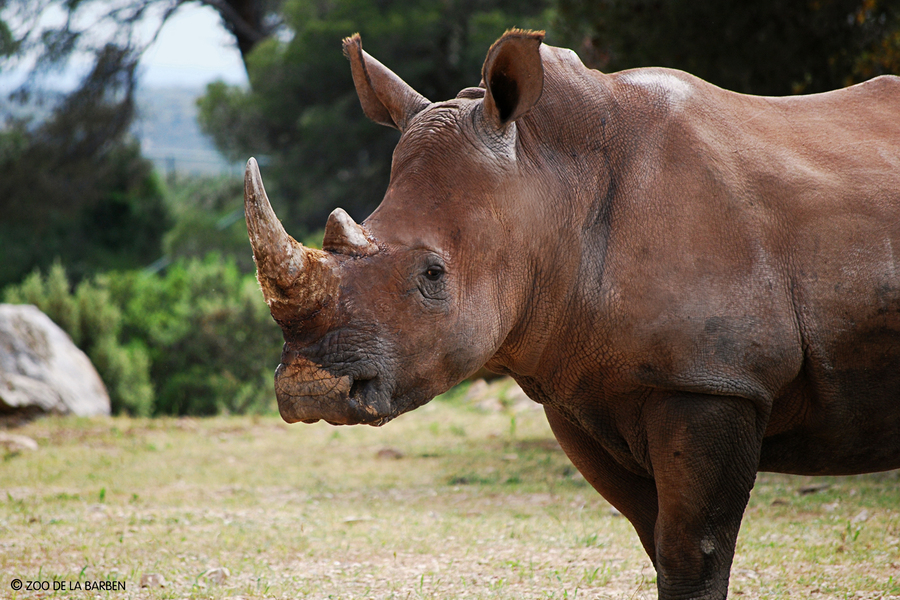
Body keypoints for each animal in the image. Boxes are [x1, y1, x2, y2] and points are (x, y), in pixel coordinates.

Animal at [244, 29, 900, 600]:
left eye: (432, 275)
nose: (311, 392)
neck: (551, 179)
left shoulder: (715, 380)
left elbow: (694, 553)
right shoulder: (579, 384)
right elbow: (658, 545)